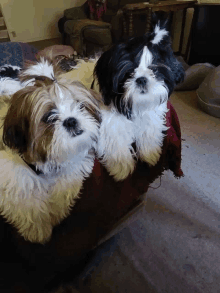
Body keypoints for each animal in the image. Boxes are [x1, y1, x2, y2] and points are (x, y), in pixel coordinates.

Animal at [0, 57, 99, 242]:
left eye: (80, 106)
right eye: (48, 116)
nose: (71, 120)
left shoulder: (75, 163)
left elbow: (65, 184)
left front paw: (56, 211)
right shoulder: (11, 173)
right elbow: (23, 199)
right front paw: (38, 228)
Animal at [93, 16, 185, 180]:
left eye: (155, 70)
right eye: (128, 72)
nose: (141, 79)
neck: (135, 105)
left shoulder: (150, 116)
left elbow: (149, 130)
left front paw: (150, 154)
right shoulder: (109, 123)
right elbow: (116, 138)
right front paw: (121, 167)